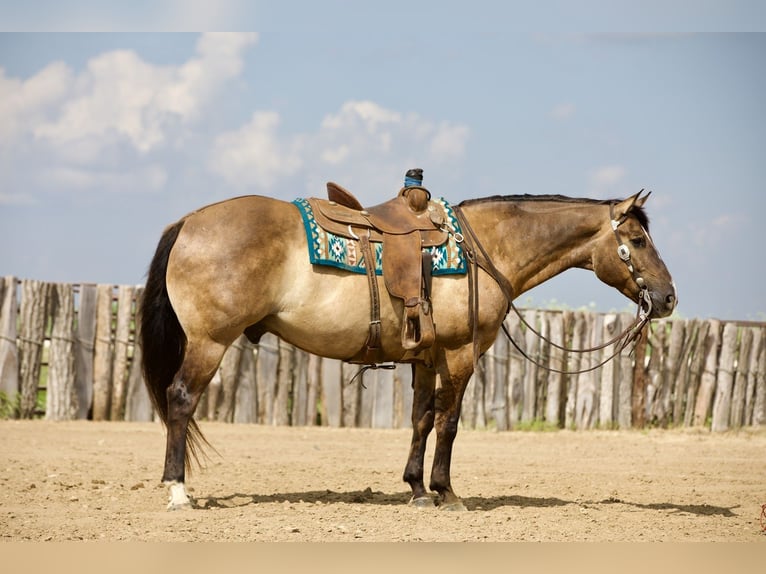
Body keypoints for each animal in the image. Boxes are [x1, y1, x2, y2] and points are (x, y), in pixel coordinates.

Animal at [138, 188, 676, 511]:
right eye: (636, 239)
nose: (668, 297)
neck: (485, 250)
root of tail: (188, 222)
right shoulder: (460, 354)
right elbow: (449, 422)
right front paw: (447, 492)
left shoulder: (426, 358)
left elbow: (420, 419)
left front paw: (417, 489)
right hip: (209, 343)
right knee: (181, 399)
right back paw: (179, 491)